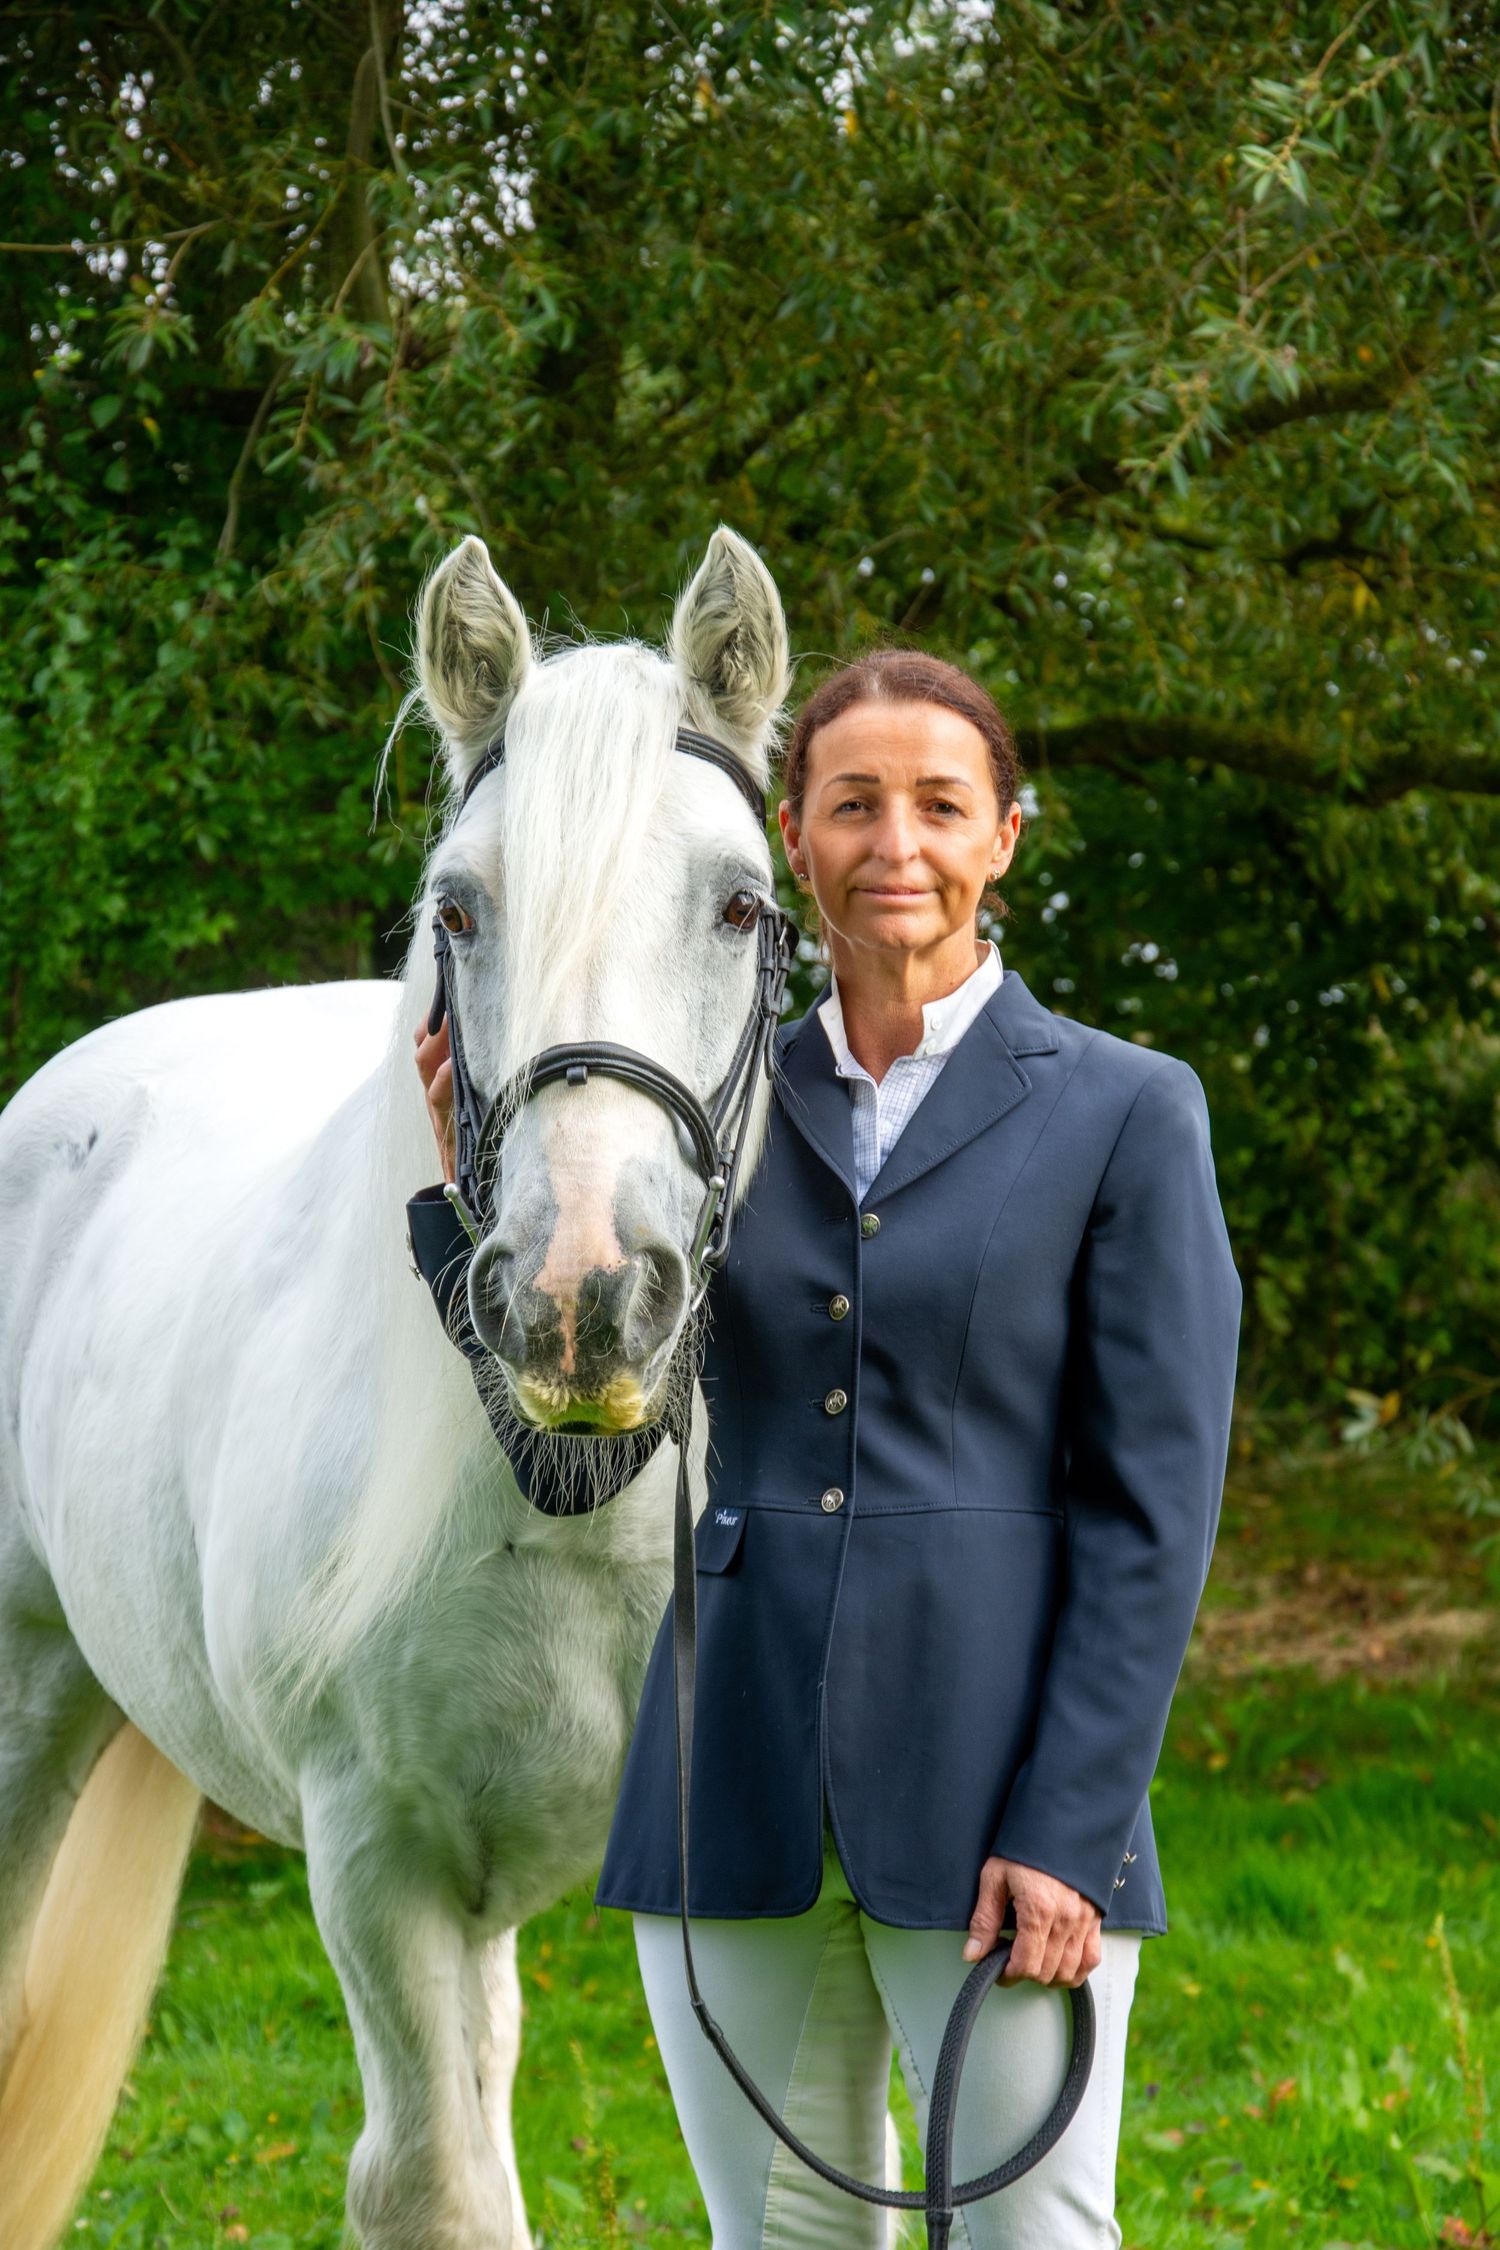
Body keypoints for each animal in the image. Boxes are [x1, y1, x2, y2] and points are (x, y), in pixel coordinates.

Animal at [0, 525, 795, 2250]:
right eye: (462, 909)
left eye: (738, 905)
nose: (580, 1297)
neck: (577, 1505)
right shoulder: (382, 1864)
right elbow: (432, 2186)